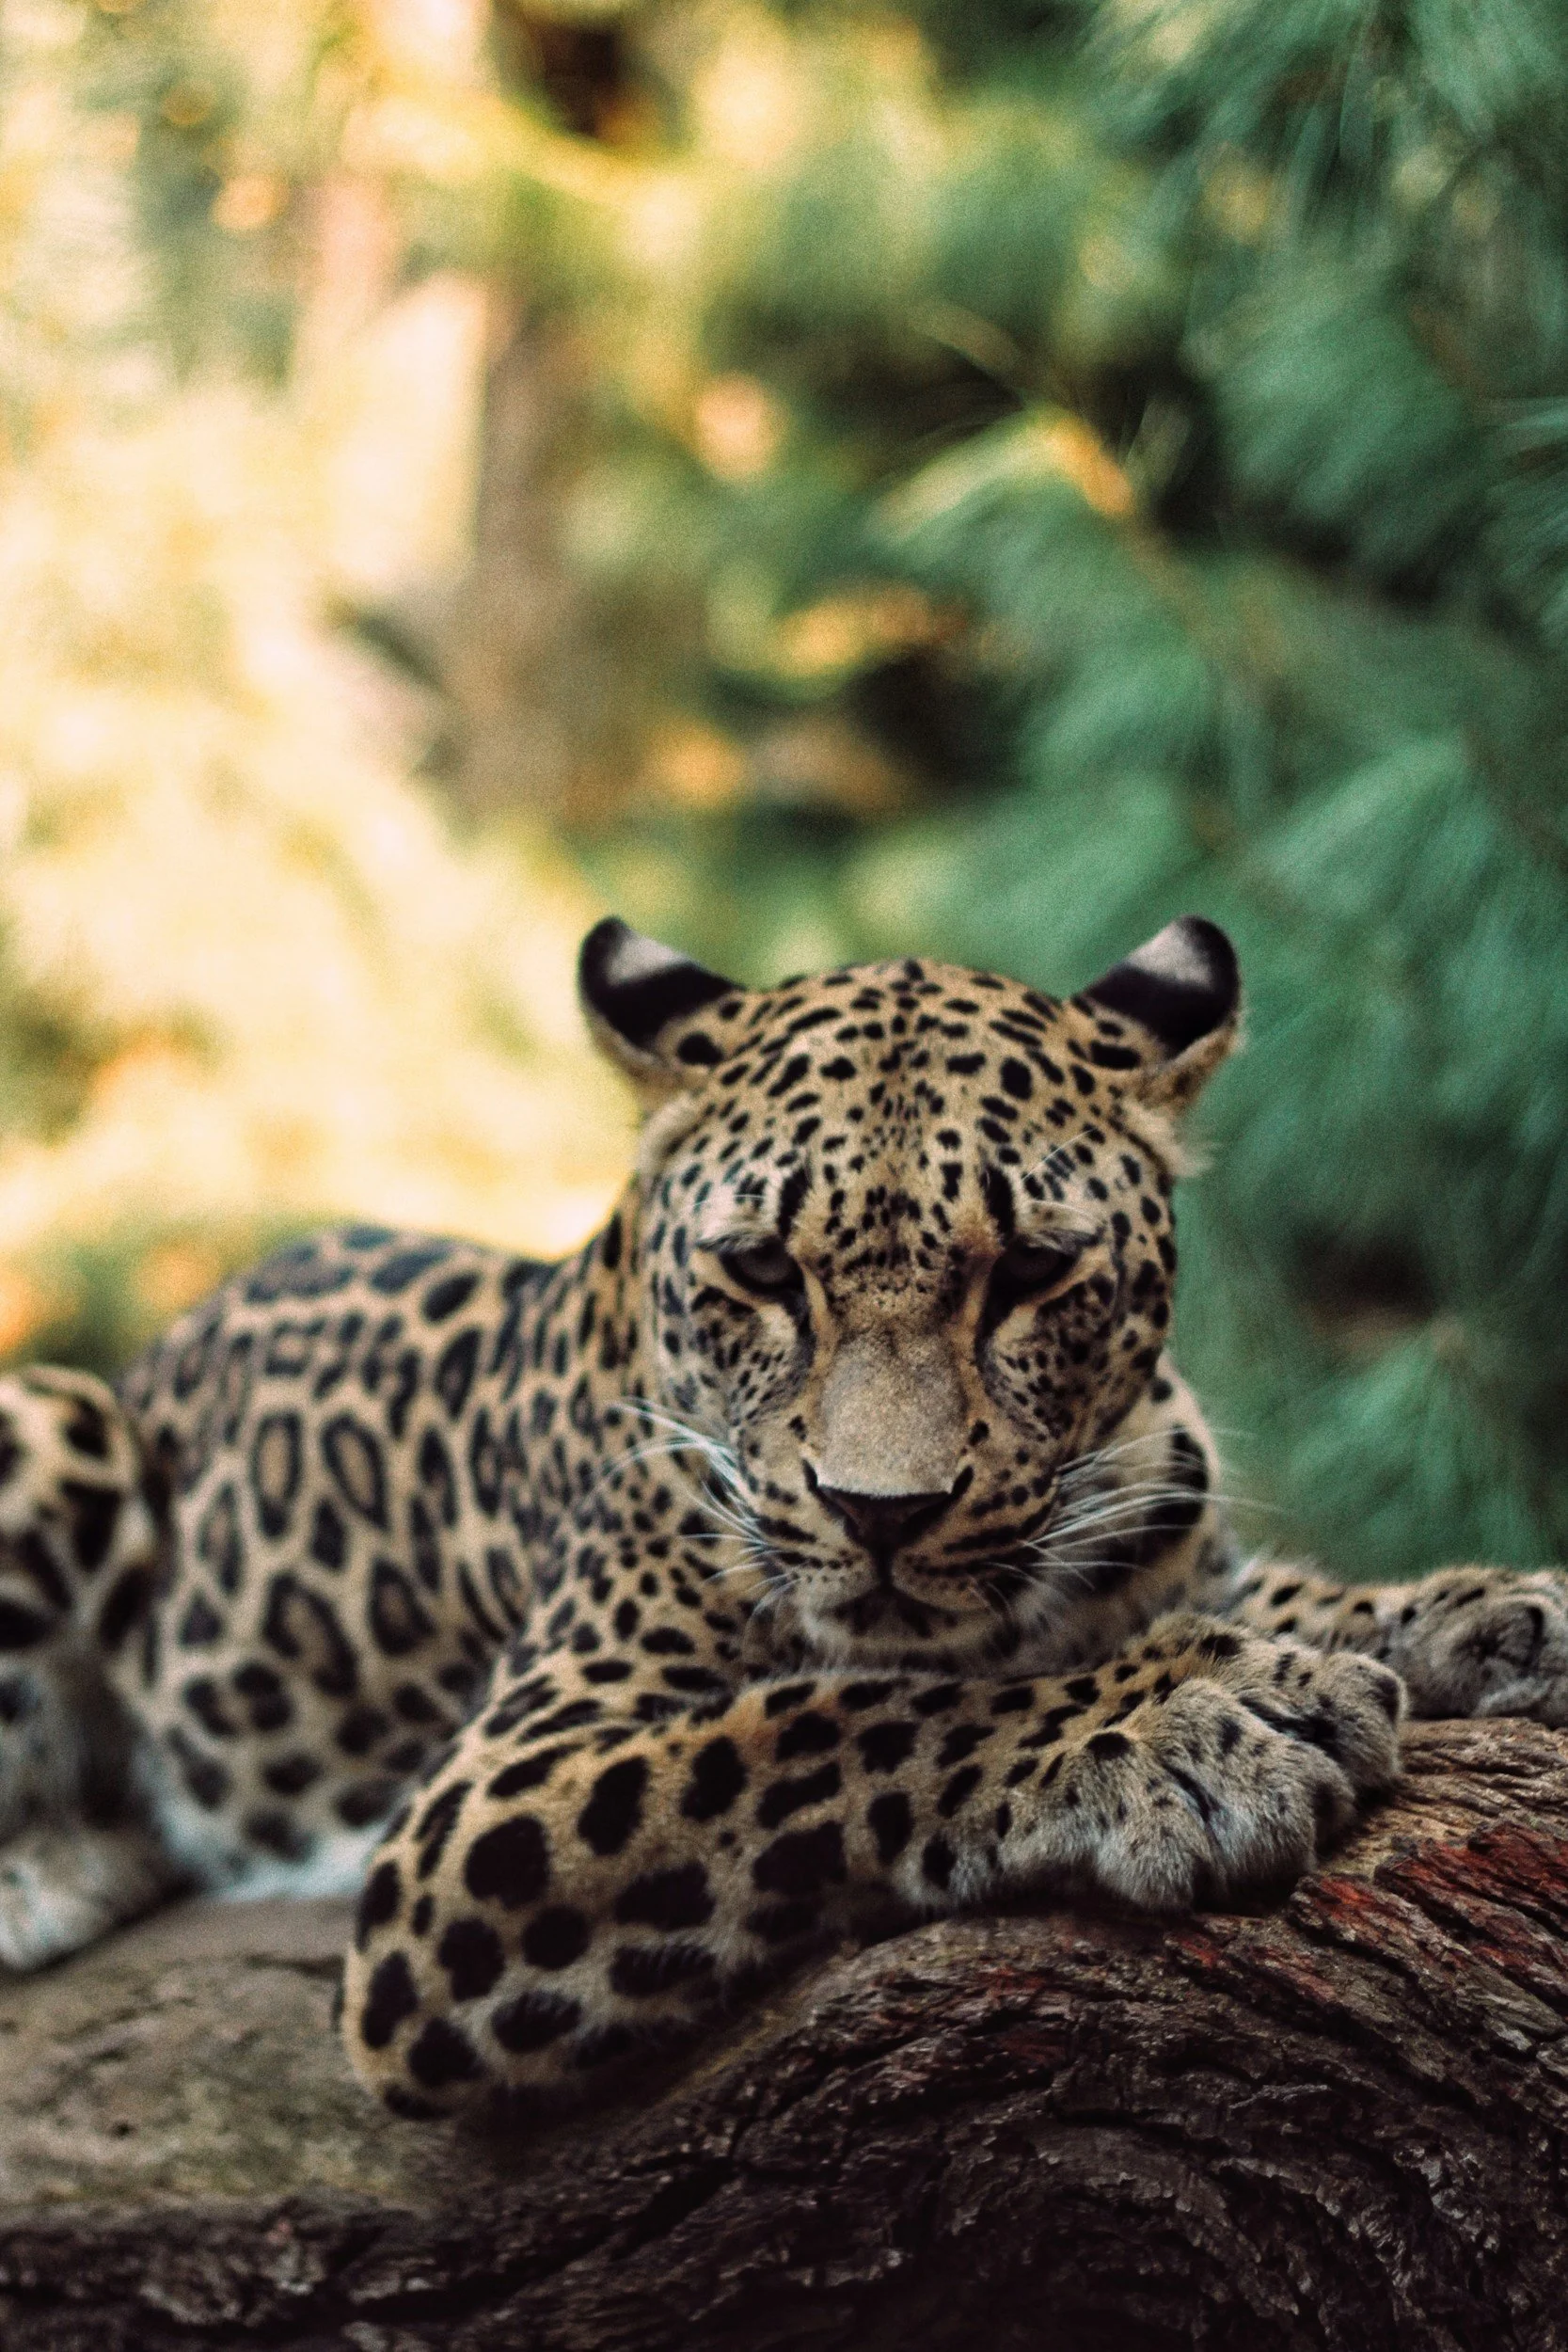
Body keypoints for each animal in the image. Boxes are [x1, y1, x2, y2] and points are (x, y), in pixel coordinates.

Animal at [2, 911, 1566, 2121]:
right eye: (758, 1269)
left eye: (1031, 1272)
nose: (880, 1513)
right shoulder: (482, 1809)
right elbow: (826, 1719)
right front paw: (1174, 1732)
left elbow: (1286, 1594)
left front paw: (1489, 1613)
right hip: (58, 1423)